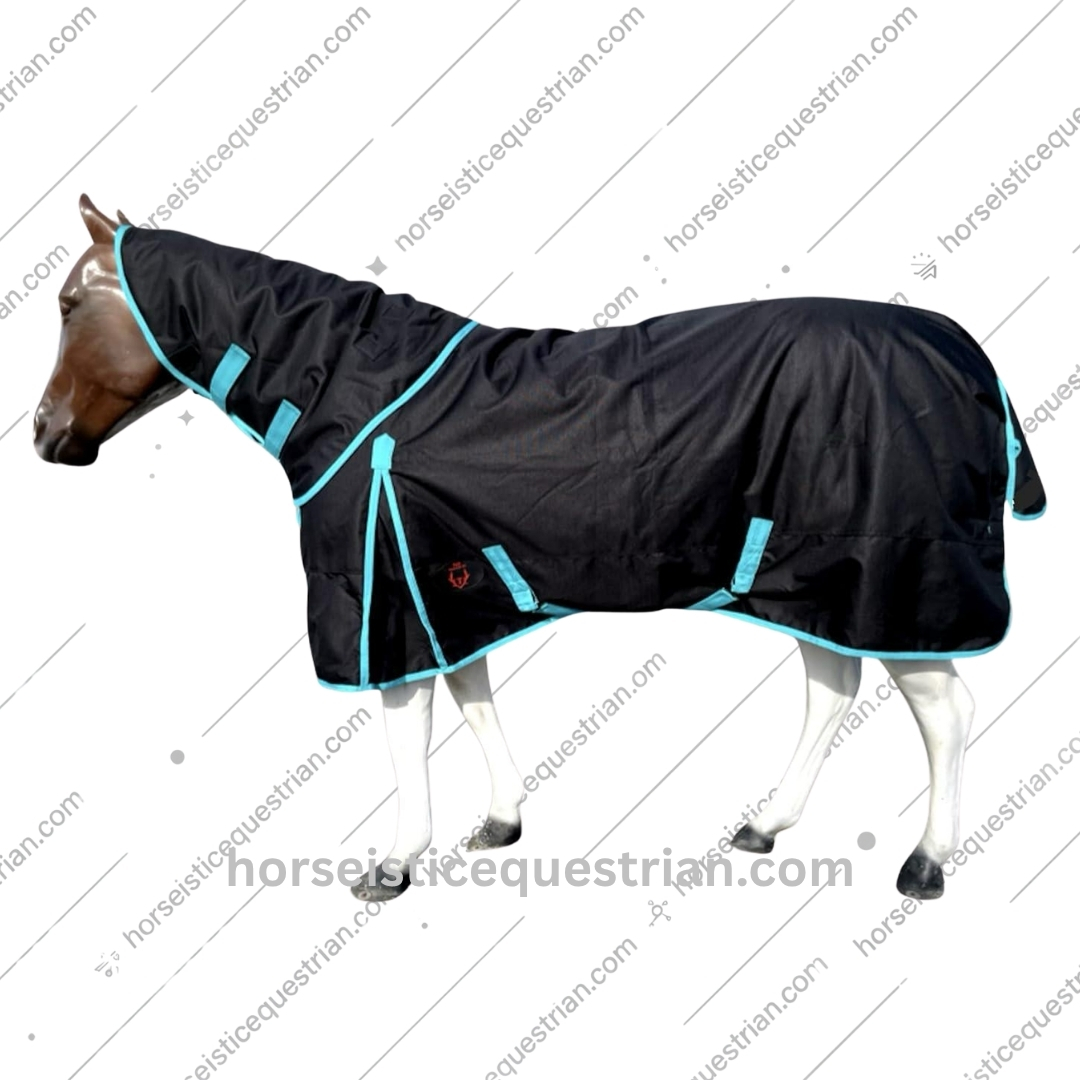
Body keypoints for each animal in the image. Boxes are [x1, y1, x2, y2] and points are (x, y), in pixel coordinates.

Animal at [33, 194, 1046, 902]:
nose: (43, 434)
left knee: (946, 709)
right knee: (832, 685)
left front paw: (393, 866)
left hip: (898, 581)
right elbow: (473, 699)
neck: (350, 387)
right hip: (812, 577)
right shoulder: (446, 586)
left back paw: (925, 864)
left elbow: (406, 734)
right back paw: (766, 825)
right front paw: (498, 823)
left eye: (71, 303)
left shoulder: (381, 601)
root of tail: (964, 352)